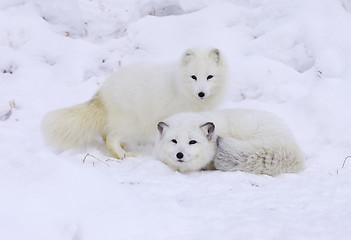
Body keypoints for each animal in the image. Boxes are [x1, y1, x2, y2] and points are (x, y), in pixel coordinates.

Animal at [42, 47, 228, 158]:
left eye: (210, 77)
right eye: (193, 77)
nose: (201, 93)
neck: (180, 85)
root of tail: (103, 90)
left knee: (106, 134)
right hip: (132, 123)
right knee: (111, 138)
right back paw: (123, 155)